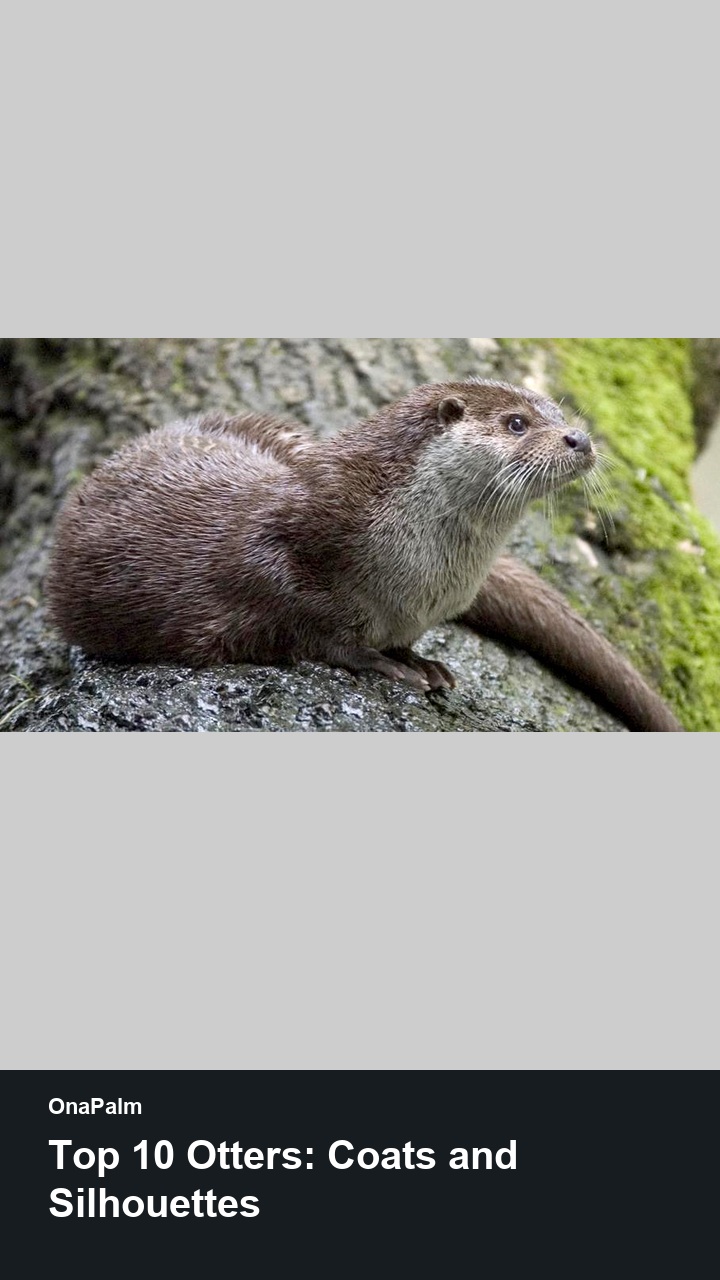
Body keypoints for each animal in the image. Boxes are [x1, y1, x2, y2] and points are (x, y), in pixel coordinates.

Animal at [46, 379, 683, 732]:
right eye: (516, 423)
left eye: (558, 412)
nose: (580, 438)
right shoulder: (285, 552)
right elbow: (309, 627)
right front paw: (385, 663)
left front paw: (418, 659)